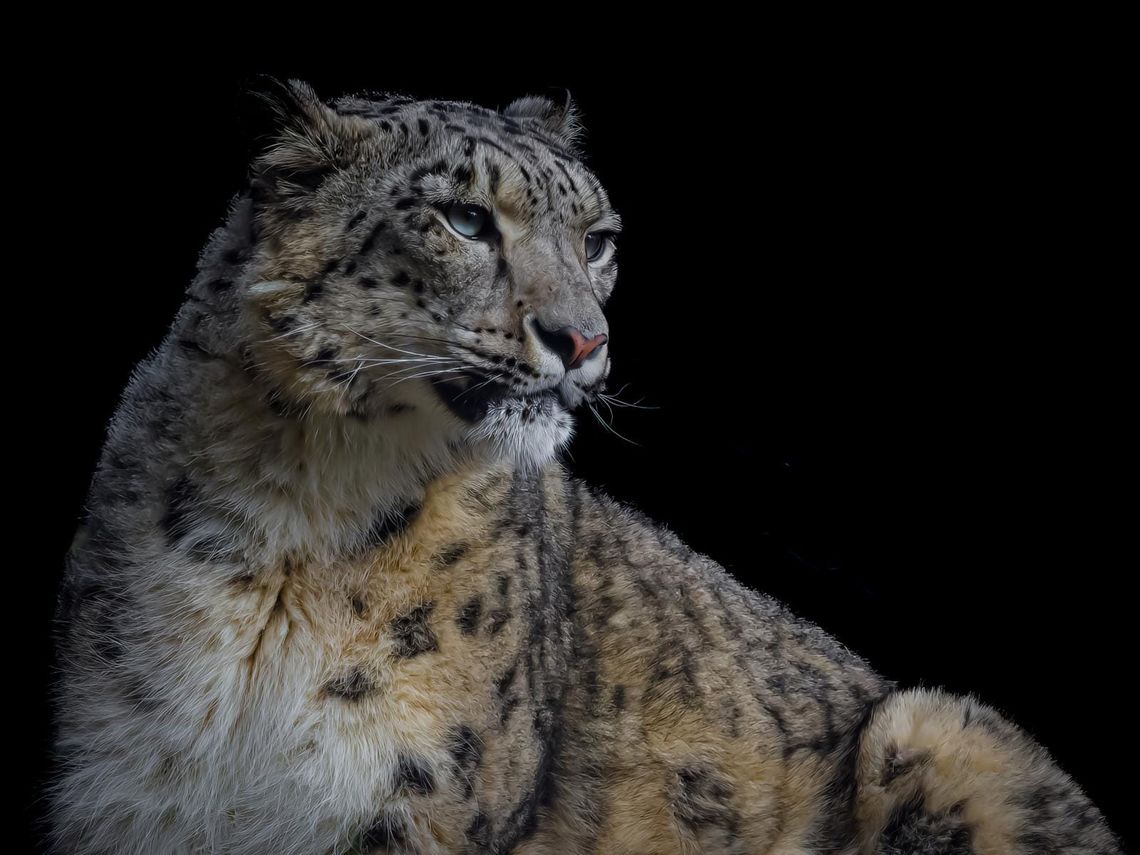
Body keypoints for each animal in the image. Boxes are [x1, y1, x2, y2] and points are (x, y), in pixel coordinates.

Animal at [48, 80, 1122, 854]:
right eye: (465, 220)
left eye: (599, 241)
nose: (584, 339)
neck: (296, 519)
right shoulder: (114, 780)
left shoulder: (420, 800)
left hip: (937, 727)